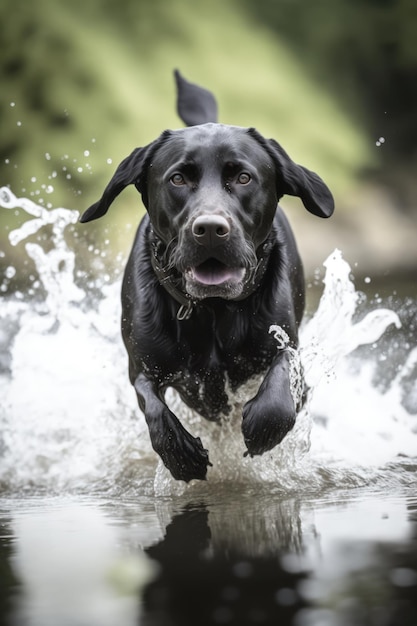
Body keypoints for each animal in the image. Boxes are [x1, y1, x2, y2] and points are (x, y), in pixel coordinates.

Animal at [80, 70, 334, 478]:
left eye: (244, 178)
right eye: (178, 179)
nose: (211, 229)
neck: (214, 310)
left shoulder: (287, 348)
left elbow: (281, 386)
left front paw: (262, 426)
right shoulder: (142, 366)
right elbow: (152, 404)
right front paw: (181, 455)